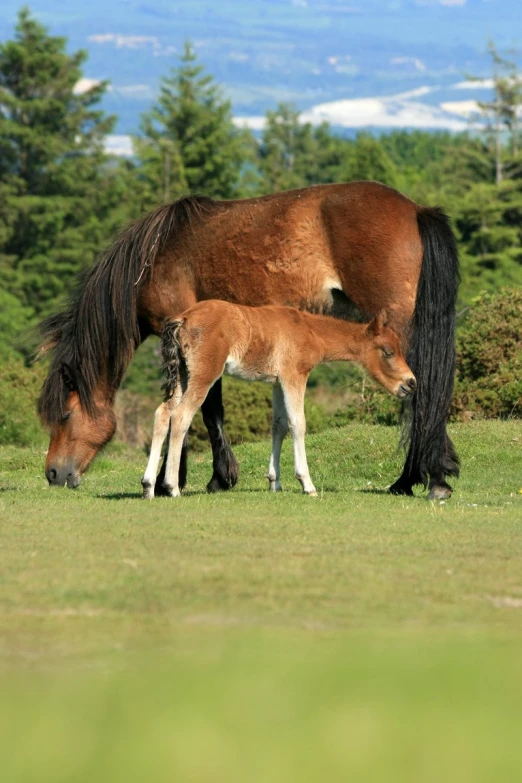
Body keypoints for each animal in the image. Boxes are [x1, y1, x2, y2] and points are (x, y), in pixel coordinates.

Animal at [141, 304, 414, 500]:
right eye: (388, 351)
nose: (410, 383)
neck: (309, 329)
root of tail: (183, 319)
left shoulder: (276, 382)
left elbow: (278, 426)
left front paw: (275, 482)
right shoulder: (295, 376)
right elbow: (297, 424)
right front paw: (307, 484)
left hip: (183, 374)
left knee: (162, 413)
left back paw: (148, 486)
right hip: (204, 374)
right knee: (181, 416)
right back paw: (172, 487)